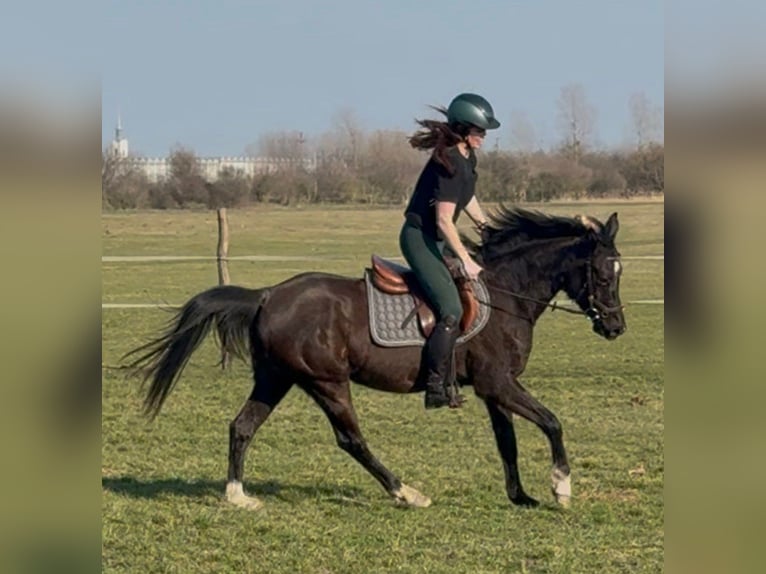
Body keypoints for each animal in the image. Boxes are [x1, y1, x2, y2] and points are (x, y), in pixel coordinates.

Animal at [124, 207, 626, 511]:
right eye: (604, 273)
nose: (616, 328)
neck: (505, 293)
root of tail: (267, 295)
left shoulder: (493, 390)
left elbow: (508, 441)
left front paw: (521, 496)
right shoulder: (498, 383)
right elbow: (551, 422)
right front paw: (561, 486)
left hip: (275, 378)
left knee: (242, 426)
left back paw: (237, 496)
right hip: (327, 382)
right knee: (351, 439)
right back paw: (406, 492)